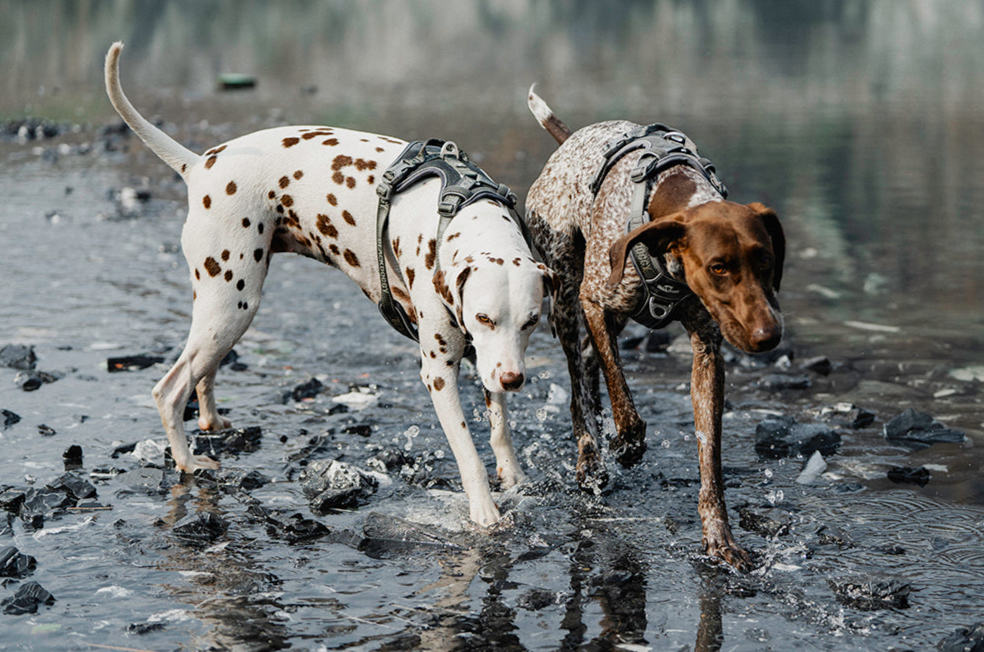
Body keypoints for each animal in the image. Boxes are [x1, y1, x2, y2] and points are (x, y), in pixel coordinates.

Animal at [107, 43, 556, 528]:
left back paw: (210, 421)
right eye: (483, 317)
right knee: (169, 390)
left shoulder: (488, 359)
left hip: (223, 314)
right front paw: (485, 511)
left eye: (531, 322)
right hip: (232, 306)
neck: (460, 211)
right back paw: (187, 461)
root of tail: (199, 164)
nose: (513, 379)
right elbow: (468, 451)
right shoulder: (439, 372)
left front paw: (513, 478)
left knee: (201, 373)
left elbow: (501, 430)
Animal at [528, 88, 788, 572]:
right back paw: (590, 456)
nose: (770, 335)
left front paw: (719, 538)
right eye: (718, 267)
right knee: (580, 386)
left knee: (588, 370)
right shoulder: (595, 300)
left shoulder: (707, 352)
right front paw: (627, 443)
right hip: (568, 300)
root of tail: (568, 141)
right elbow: (623, 396)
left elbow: (710, 459)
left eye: (765, 260)